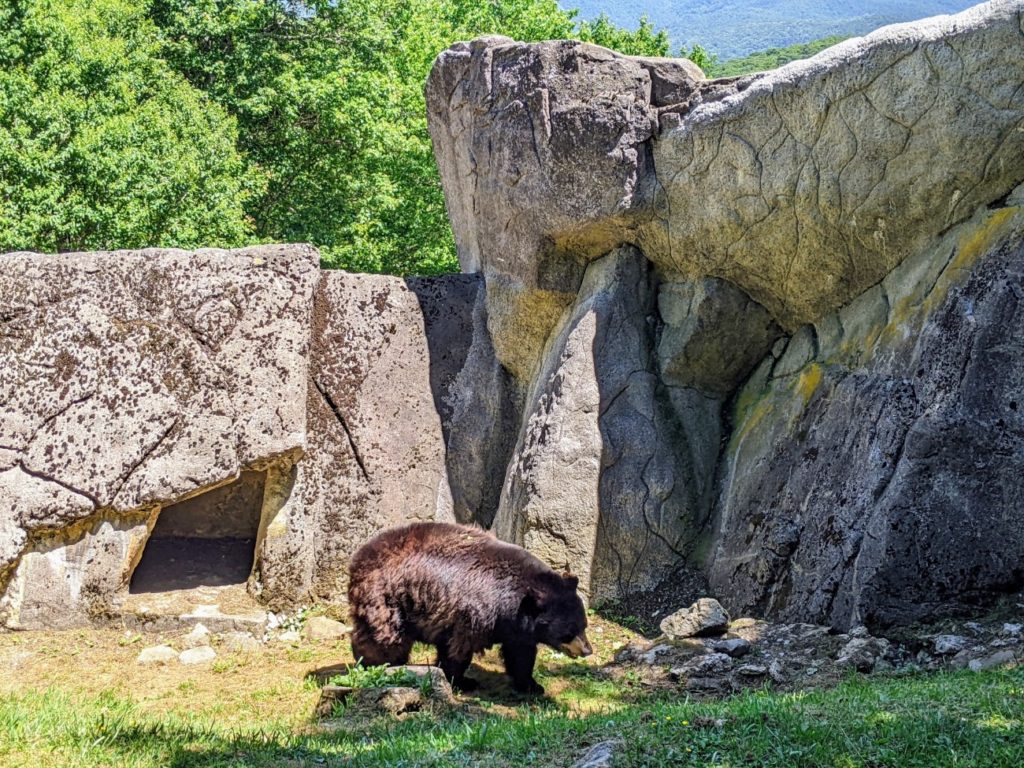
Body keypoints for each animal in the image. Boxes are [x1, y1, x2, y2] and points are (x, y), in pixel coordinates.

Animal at [350, 524, 593, 692]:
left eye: (584, 625)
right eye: (568, 631)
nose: (587, 650)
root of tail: (359, 557)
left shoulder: (516, 626)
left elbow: (520, 653)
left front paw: (532, 685)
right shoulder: (474, 613)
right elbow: (458, 649)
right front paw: (461, 681)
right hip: (388, 598)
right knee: (385, 636)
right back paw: (377, 663)